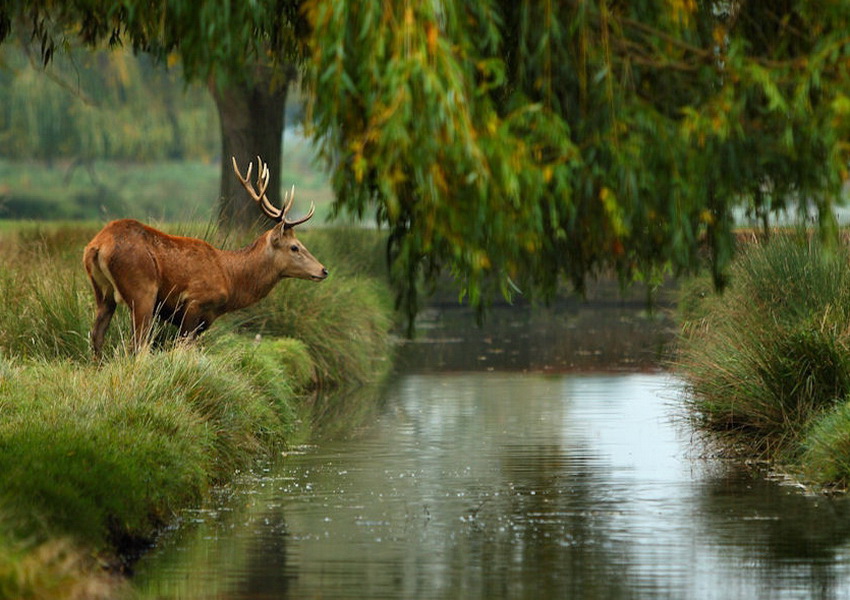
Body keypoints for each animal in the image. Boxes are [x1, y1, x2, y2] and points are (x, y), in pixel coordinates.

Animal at [83, 157, 326, 358]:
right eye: (295, 247)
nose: (324, 270)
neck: (230, 278)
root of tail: (98, 245)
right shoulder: (195, 301)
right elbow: (183, 348)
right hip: (142, 288)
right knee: (137, 344)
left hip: (102, 291)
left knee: (96, 336)